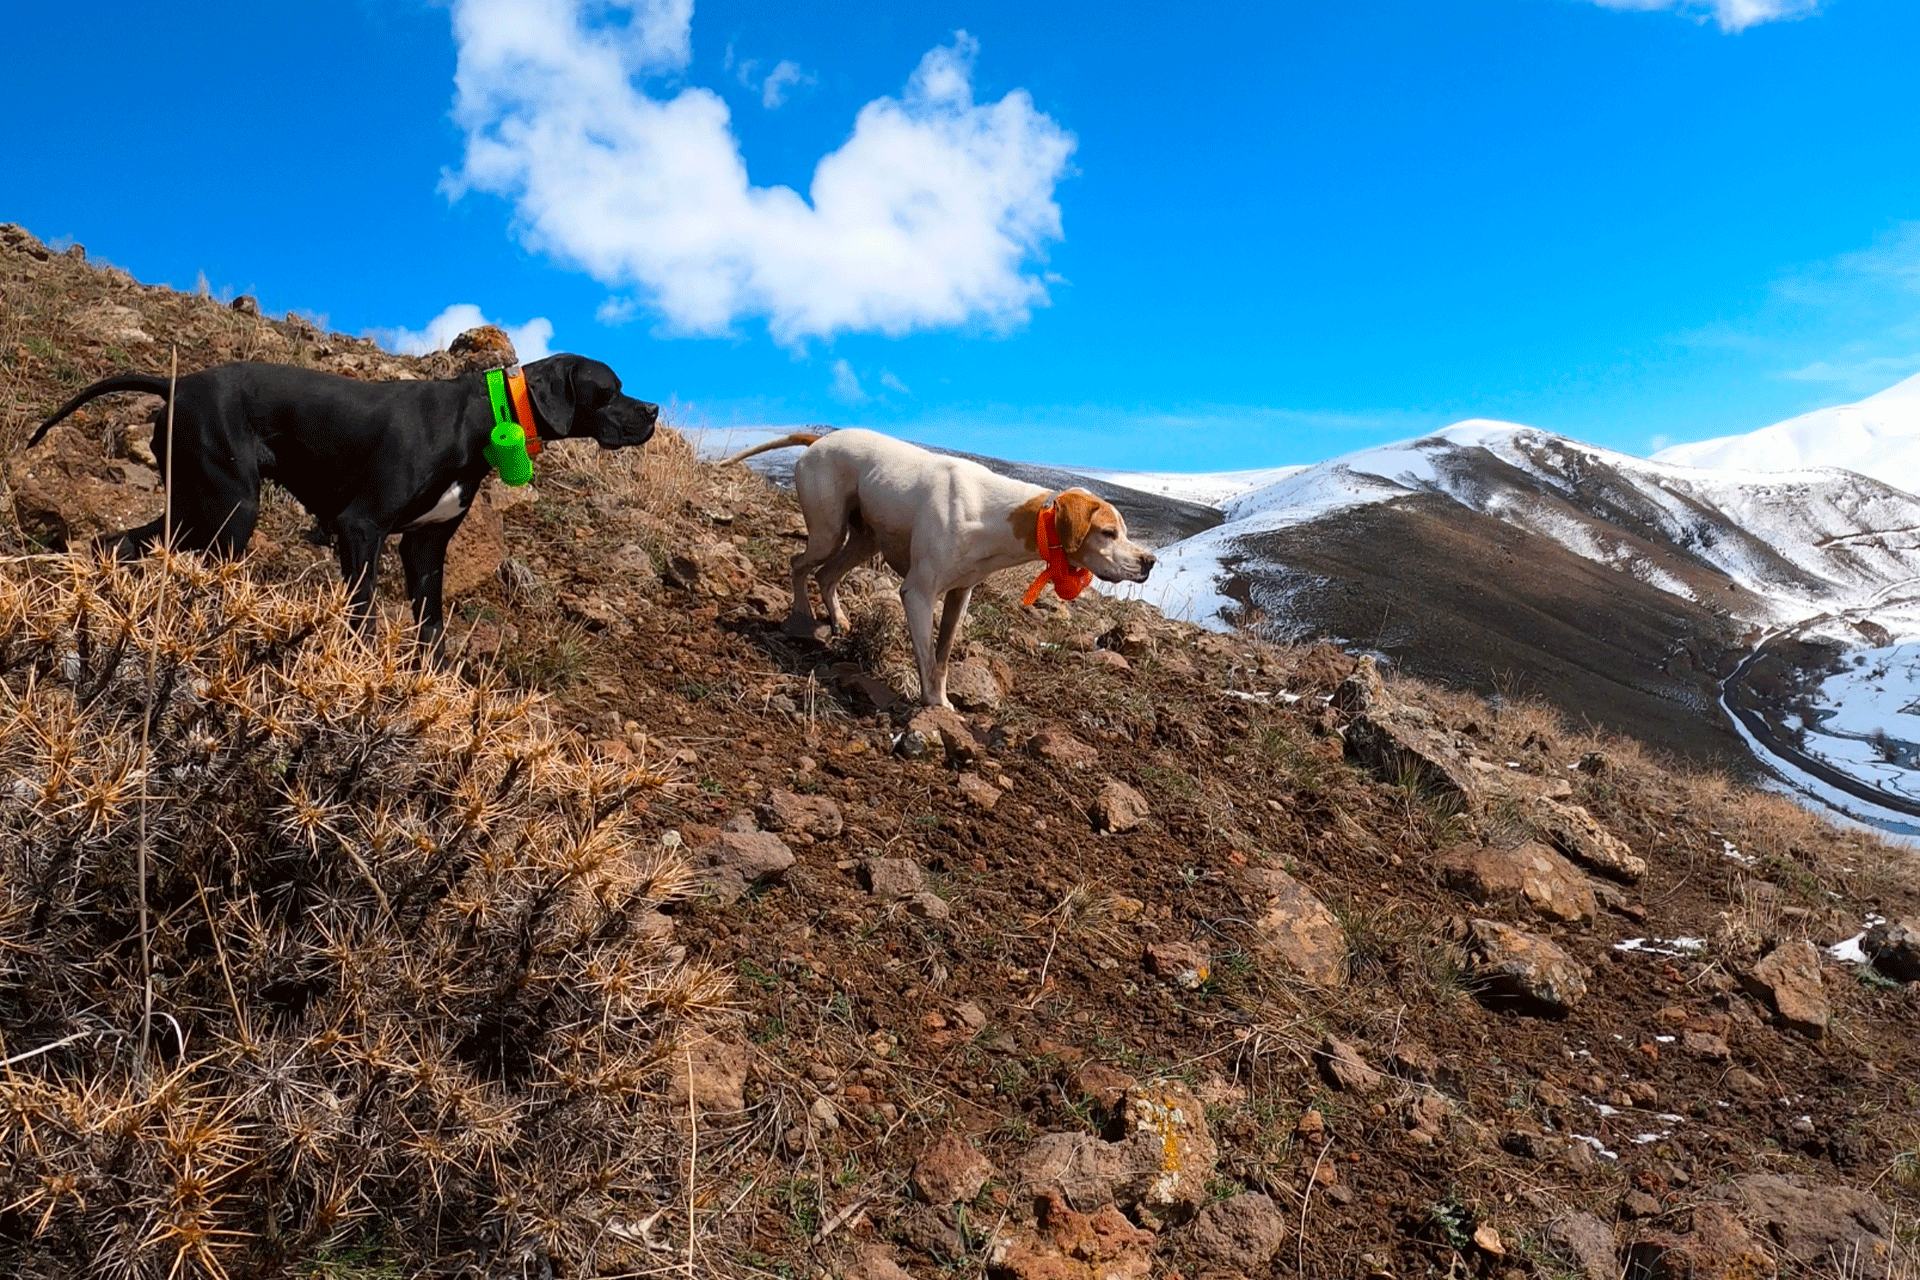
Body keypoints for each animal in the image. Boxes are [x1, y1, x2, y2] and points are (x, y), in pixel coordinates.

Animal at [26, 353, 660, 644]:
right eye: (610, 390)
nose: (653, 411)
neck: (482, 416)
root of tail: (176, 383)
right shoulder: (360, 529)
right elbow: (362, 617)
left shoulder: (425, 550)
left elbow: (431, 630)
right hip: (230, 512)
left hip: (193, 508)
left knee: (116, 542)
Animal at [725, 429, 1152, 710]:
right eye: (1108, 532)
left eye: (1125, 531)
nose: (1149, 562)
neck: (991, 515)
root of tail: (818, 440)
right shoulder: (918, 593)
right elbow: (927, 659)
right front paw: (931, 706)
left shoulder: (959, 596)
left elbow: (943, 658)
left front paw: (943, 702)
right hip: (828, 533)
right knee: (799, 564)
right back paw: (801, 613)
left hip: (864, 541)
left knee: (825, 575)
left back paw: (839, 620)